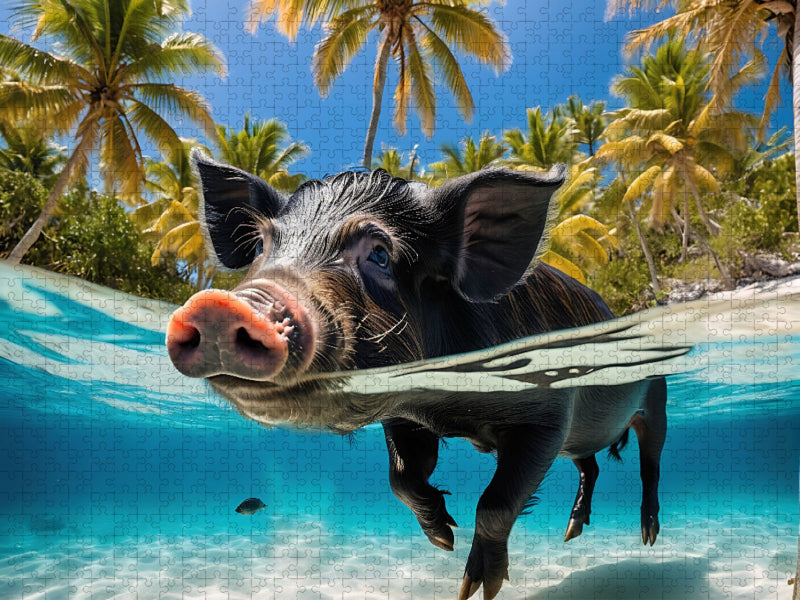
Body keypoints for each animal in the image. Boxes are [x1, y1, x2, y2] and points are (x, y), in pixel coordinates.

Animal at [166, 150, 667, 600]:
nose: (219, 306)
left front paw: (475, 588)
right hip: (586, 438)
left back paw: (648, 536)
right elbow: (402, 477)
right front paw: (443, 537)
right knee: (590, 464)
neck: (448, 410)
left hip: (656, 395)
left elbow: (496, 501)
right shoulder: (406, 416)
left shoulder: (550, 409)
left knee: (649, 461)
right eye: (261, 246)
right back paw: (572, 532)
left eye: (380, 254)